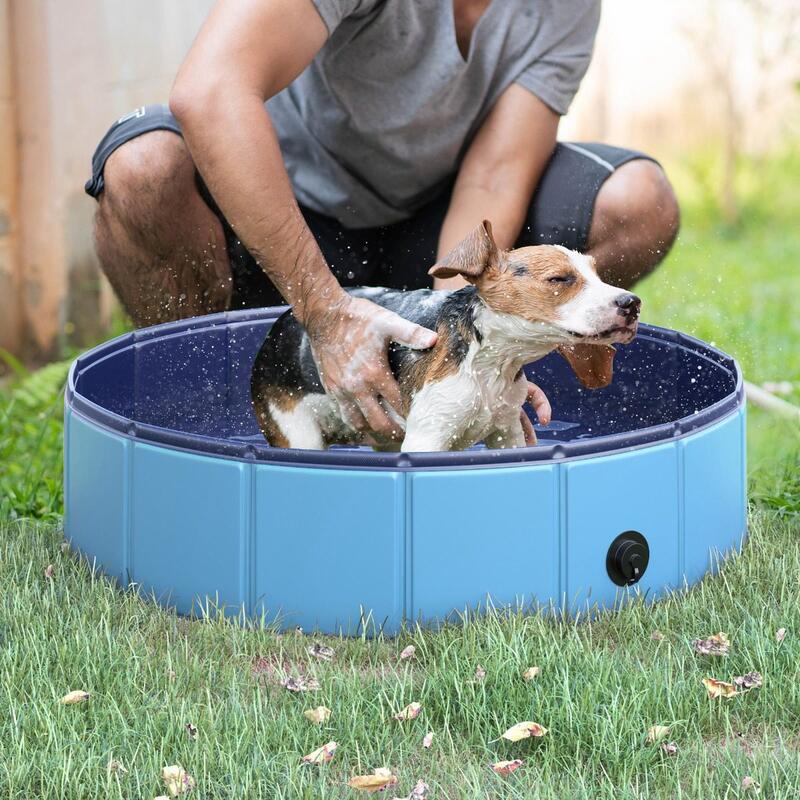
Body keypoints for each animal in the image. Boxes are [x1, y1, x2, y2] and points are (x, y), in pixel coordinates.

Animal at [253, 220, 640, 450]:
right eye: (559, 279)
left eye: (598, 275)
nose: (632, 303)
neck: (489, 363)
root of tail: (280, 325)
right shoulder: (428, 437)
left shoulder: (507, 431)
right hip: (295, 430)